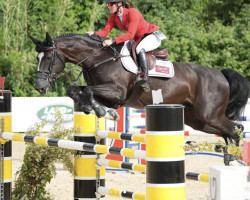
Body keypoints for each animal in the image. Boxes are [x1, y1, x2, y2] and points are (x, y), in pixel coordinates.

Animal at [31, 32, 250, 145]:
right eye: (37, 58)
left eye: (48, 58)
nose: (39, 87)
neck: (98, 58)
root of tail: (220, 74)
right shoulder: (109, 94)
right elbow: (75, 90)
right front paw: (90, 108)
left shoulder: (117, 93)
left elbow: (88, 91)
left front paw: (103, 112)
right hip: (198, 120)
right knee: (232, 131)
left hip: (209, 115)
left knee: (234, 130)